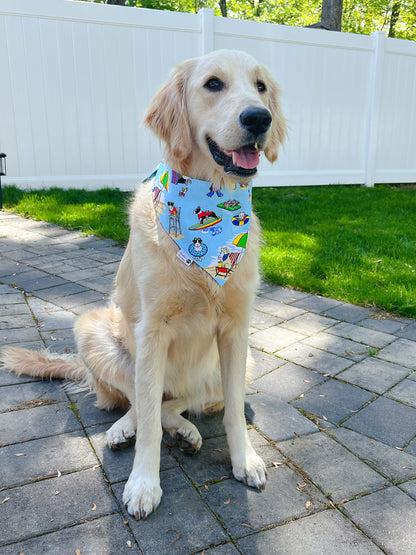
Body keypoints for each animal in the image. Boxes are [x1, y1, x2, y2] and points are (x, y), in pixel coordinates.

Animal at [0, 48, 286, 520]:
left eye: (261, 86)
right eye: (213, 84)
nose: (259, 118)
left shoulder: (236, 327)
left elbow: (229, 412)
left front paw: (244, 459)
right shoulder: (152, 329)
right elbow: (148, 414)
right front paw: (144, 484)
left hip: (242, 363)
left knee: (181, 401)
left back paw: (186, 431)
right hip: (94, 329)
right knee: (138, 400)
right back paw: (125, 429)